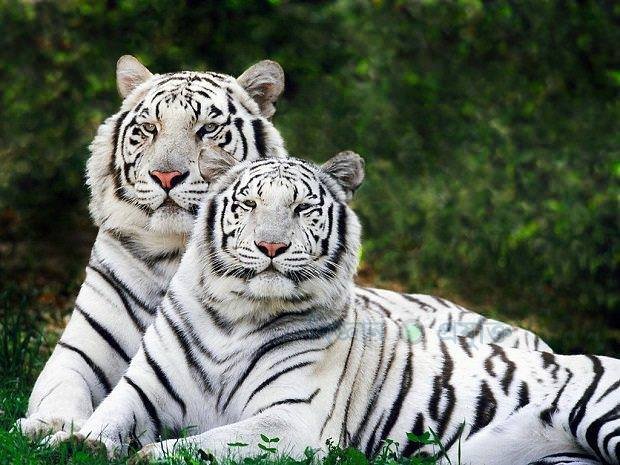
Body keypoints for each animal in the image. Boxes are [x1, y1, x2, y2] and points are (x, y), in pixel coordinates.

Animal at [18, 55, 552, 438]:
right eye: (148, 129)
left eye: (207, 129)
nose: (167, 176)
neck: (175, 253)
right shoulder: (79, 351)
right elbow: (60, 390)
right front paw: (49, 427)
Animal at [53, 154, 620, 462]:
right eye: (248, 205)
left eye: (302, 208)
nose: (271, 247)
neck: (235, 316)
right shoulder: (142, 391)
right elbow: (105, 419)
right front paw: (73, 442)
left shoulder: (293, 419)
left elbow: (215, 442)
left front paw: (151, 454)